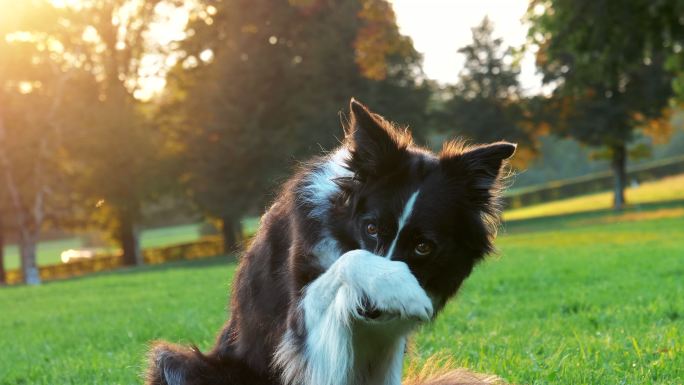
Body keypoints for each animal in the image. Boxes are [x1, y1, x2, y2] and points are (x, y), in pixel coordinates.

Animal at [147, 99, 516, 384]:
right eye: (371, 228)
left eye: (423, 247)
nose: (369, 310)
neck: (343, 225)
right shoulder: (298, 326)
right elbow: (348, 261)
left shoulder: (386, 344)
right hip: (178, 362)